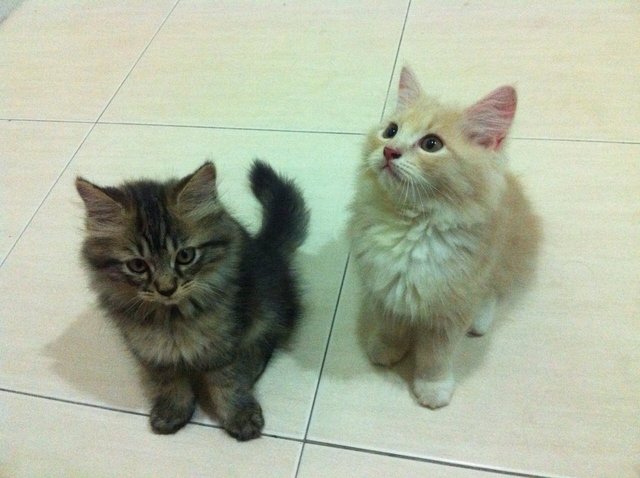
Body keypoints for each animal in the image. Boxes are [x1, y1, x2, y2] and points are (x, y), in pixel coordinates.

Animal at [75, 161, 310, 440]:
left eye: (185, 256)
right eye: (137, 265)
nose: (166, 288)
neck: (172, 318)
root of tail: (266, 247)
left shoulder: (224, 343)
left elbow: (228, 383)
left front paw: (239, 415)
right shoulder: (152, 351)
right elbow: (168, 383)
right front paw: (172, 411)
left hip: (267, 305)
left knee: (265, 342)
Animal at [350, 67, 540, 408]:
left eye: (431, 143)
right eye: (391, 131)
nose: (389, 151)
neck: (409, 227)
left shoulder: (452, 306)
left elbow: (435, 355)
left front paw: (432, 387)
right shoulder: (383, 288)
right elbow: (390, 326)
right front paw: (386, 348)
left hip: (505, 256)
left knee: (494, 290)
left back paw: (480, 320)